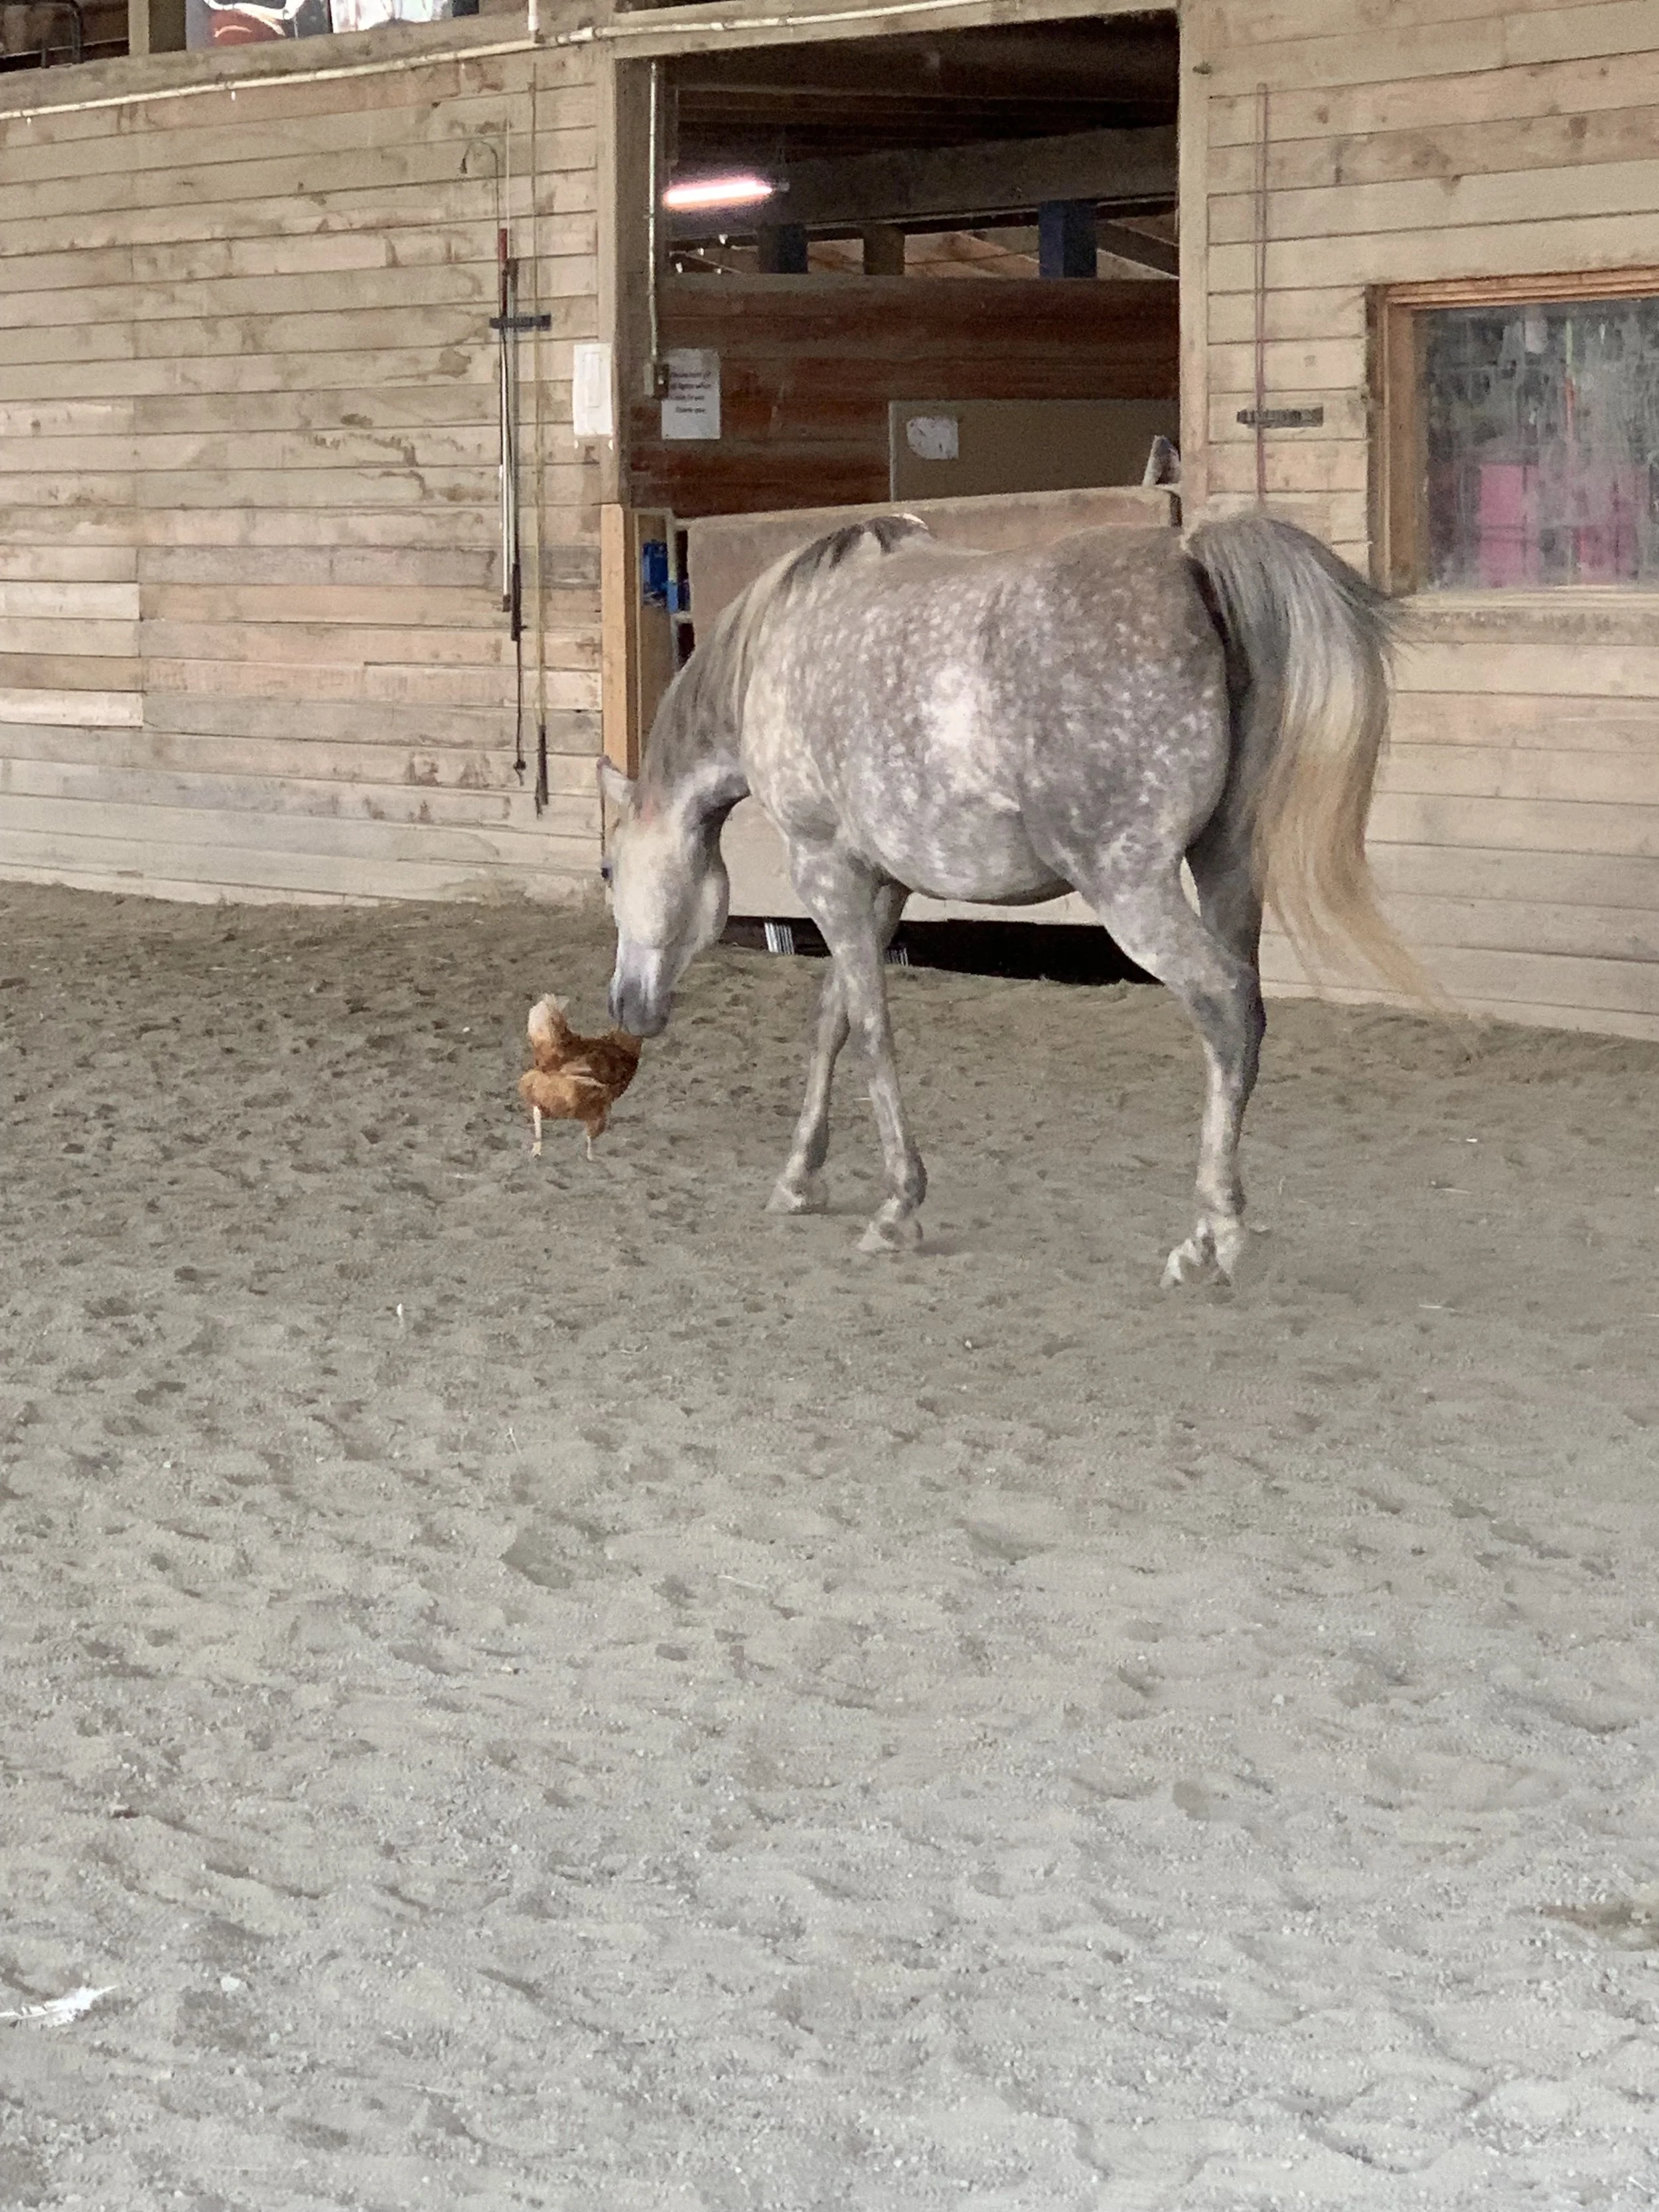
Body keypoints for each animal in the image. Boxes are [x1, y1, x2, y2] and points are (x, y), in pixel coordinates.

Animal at [599, 512, 1424, 1281]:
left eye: (608, 870)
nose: (624, 1005)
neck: (773, 651)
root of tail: (1189, 560)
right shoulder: (879, 883)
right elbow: (833, 1020)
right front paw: (800, 1177)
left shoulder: (824, 866)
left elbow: (870, 1031)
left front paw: (896, 1207)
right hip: (1223, 866)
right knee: (1244, 1019)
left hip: (1131, 887)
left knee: (1223, 1005)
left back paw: (1210, 1238)